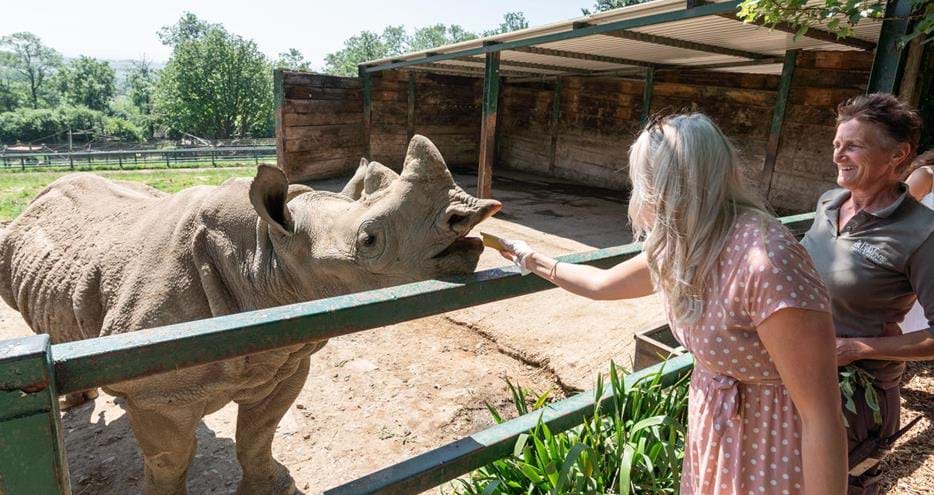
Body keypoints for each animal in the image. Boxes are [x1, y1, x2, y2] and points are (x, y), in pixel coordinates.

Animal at [0, 135, 501, 495]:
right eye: (369, 240)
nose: (468, 217)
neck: (265, 256)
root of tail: (36, 199)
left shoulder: (285, 361)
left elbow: (258, 435)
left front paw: (275, 488)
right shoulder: (158, 395)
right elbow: (170, 460)